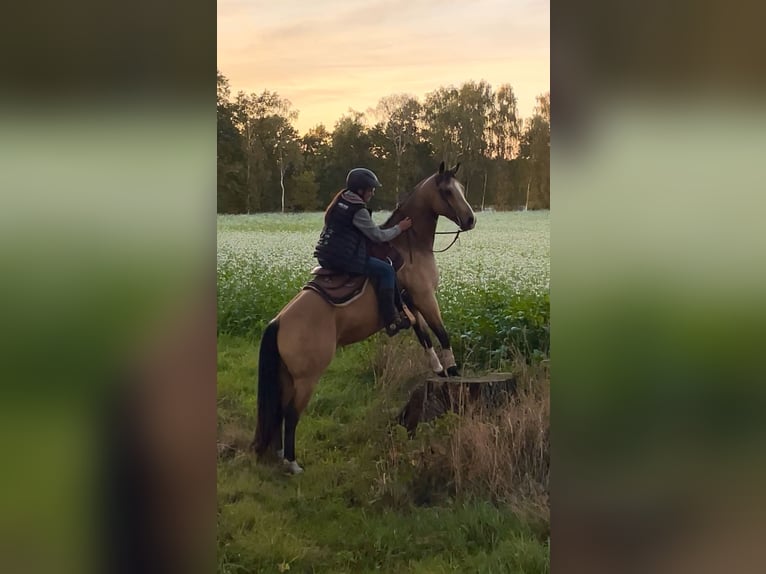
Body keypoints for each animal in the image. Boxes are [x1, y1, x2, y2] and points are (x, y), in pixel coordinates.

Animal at [252, 161, 476, 473]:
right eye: (446, 191)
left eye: (461, 189)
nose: (470, 219)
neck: (409, 245)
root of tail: (278, 322)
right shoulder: (425, 299)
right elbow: (442, 333)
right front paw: (453, 371)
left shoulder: (413, 307)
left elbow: (424, 338)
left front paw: (440, 371)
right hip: (307, 378)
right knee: (292, 414)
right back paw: (293, 464)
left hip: (287, 377)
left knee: (279, 414)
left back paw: (279, 455)